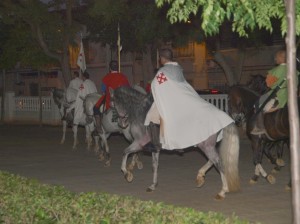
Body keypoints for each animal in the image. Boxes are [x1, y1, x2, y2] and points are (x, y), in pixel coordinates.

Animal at [109, 86, 240, 200]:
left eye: (113, 103)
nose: (121, 124)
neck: (141, 113)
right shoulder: (155, 149)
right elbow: (154, 165)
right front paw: (153, 185)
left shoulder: (139, 142)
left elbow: (125, 152)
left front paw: (127, 174)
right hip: (206, 146)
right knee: (212, 160)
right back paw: (200, 177)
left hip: (206, 146)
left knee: (218, 162)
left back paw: (222, 191)